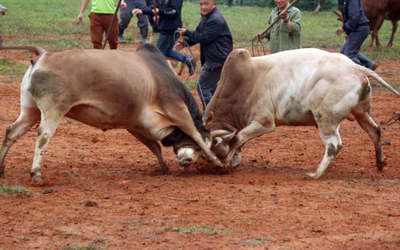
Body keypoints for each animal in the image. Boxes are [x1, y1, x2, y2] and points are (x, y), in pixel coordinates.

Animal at [0, 44, 222, 183]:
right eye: (210, 140)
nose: (188, 162)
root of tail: (44, 55)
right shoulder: (177, 110)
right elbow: (194, 134)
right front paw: (216, 161)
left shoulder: (135, 126)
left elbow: (154, 146)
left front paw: (162, 167)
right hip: (53, 110)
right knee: (42, 137)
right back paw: (36, 174)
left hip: (30, 111)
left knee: (11, 132)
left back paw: (1, 169)